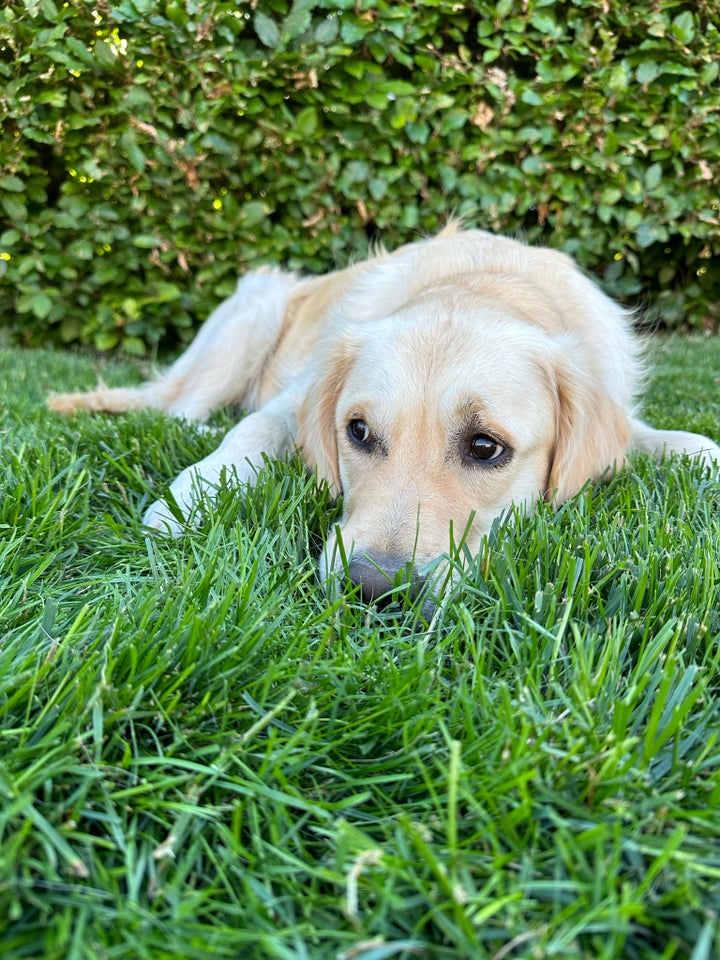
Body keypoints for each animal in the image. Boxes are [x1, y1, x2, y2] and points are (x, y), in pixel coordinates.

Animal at [47, 223, 716, 608]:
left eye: (485, 446)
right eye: (359, 432)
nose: (374, 588)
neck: (487, 283)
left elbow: (687, 442)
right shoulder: (297, 394)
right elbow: (254, 426)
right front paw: (188, 498)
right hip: (252, 312)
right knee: (183, 410)